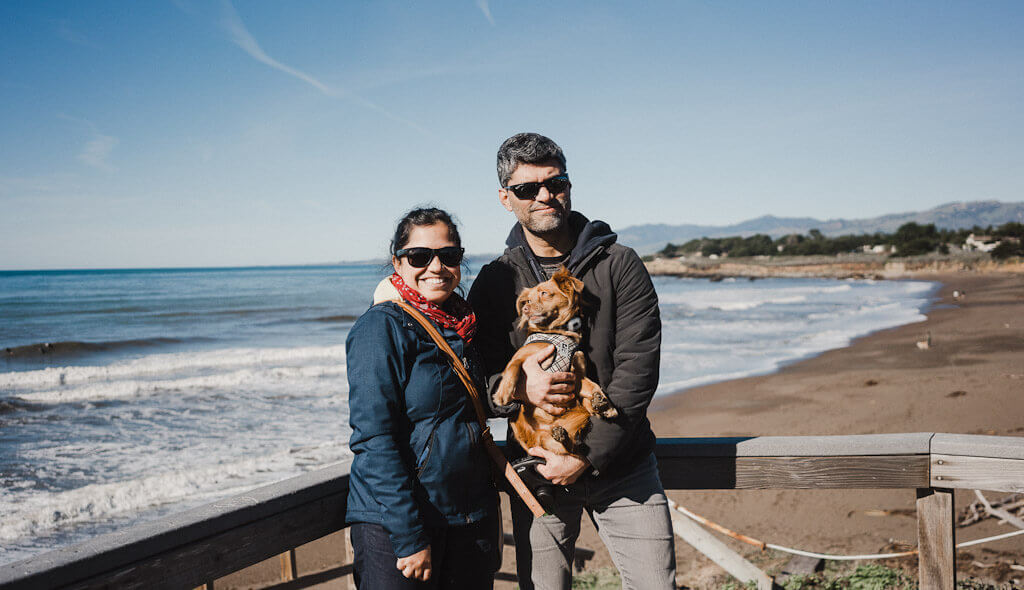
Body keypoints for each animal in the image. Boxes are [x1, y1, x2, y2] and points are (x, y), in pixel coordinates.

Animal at [493, 268, 614, 456]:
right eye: (527, 300)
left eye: (544, 293)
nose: (525, 308)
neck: (557, 332)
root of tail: (537, 438)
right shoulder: (520, 357)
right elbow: (513, 369)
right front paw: (503, 394)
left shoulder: (576, 375)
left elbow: (591, 384)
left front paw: (604, 401)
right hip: (536, 434)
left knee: (571, 445)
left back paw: (593, 408)